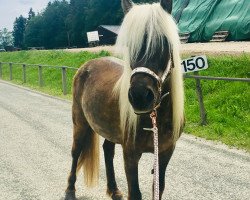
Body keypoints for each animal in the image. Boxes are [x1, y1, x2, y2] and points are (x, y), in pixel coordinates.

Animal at [64, 0, 185, 199]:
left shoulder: (166, 152)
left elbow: (158, 188)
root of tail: (87, 66)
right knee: (76, 152)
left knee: (107, 151)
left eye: (164, 42)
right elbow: (135, 192)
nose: (140, 96)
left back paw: (113, 190)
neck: (155, 119)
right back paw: (70, 190)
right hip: (80, 123)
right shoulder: (130, 154)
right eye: (130, 45)